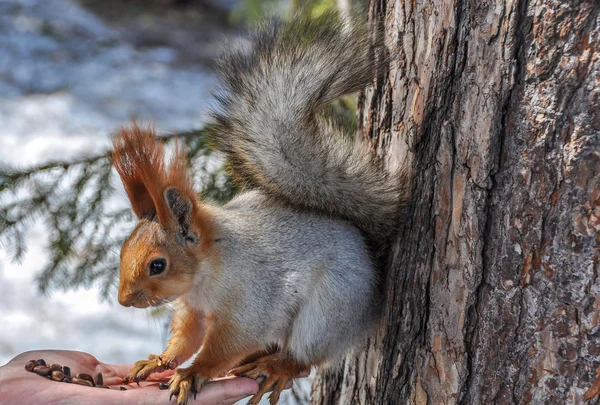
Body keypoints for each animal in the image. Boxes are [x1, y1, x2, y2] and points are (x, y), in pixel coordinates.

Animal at [112, 11, 410, 404]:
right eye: (123, 249)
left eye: (157, 265)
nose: (123, 301)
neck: (209, 270)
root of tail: (373, 302)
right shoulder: (192, 309)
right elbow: (187, 338)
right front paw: (160, 360)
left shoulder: (251, 301)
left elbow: (228, 344)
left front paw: (192, 373)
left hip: (329, 310)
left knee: (304, 358)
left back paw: (277, 366)